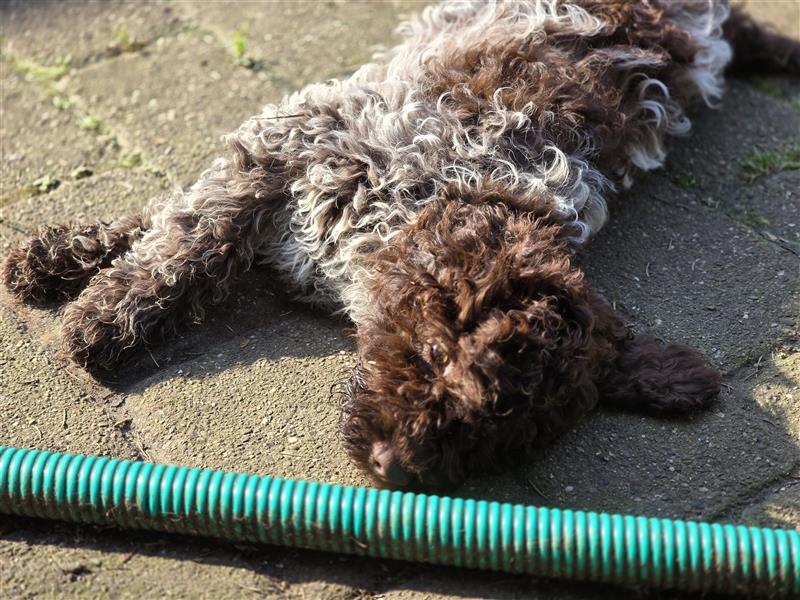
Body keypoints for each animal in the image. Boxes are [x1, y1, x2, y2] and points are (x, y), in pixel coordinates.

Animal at [3, 1, 796, 488]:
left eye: (500, 439)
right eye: (437, 356)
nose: (390, 466)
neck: (452, 196)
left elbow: (182, 226)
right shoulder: (290, 143)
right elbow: (180, 231)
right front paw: (85, 296)